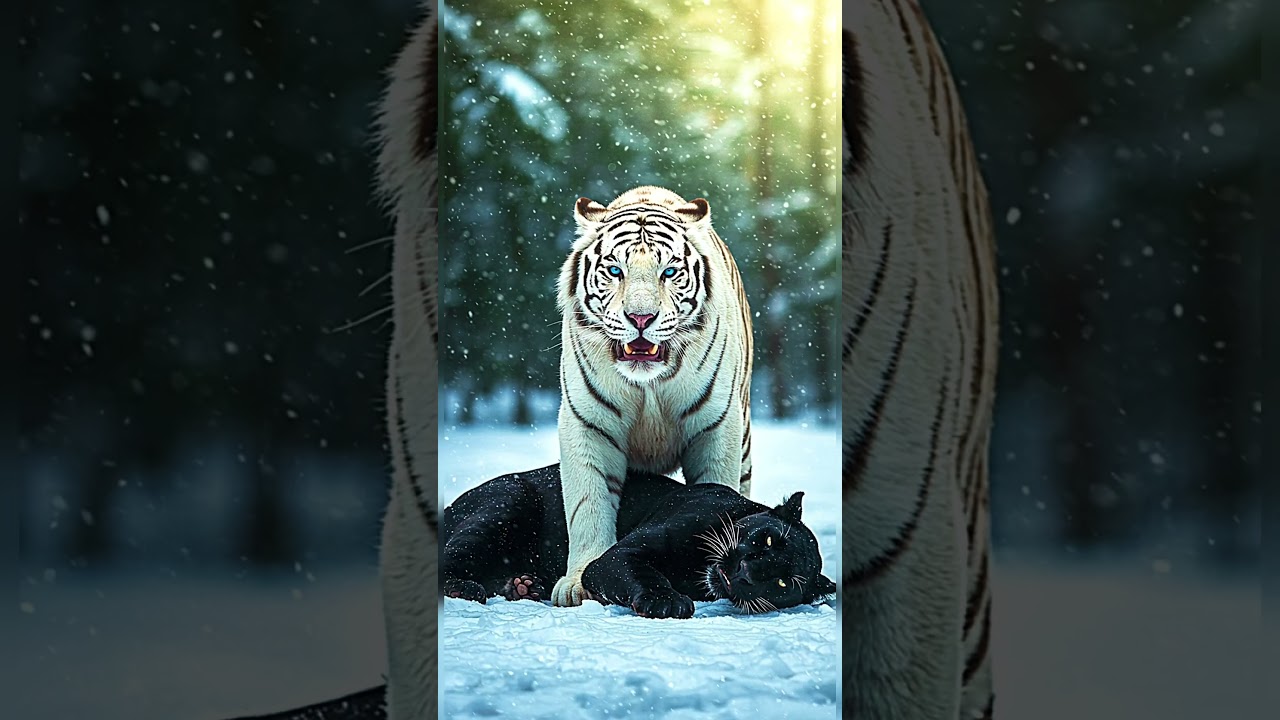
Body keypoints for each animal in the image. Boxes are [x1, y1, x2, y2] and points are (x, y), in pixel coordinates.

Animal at [550, 185, 755, 607]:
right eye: (615, 271)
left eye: (669, 272)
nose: (641, 318)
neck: (648, 385)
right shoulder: (586, 424)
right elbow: (587, 505)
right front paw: (579, 582)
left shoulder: (717, 429)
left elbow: (720, 492)